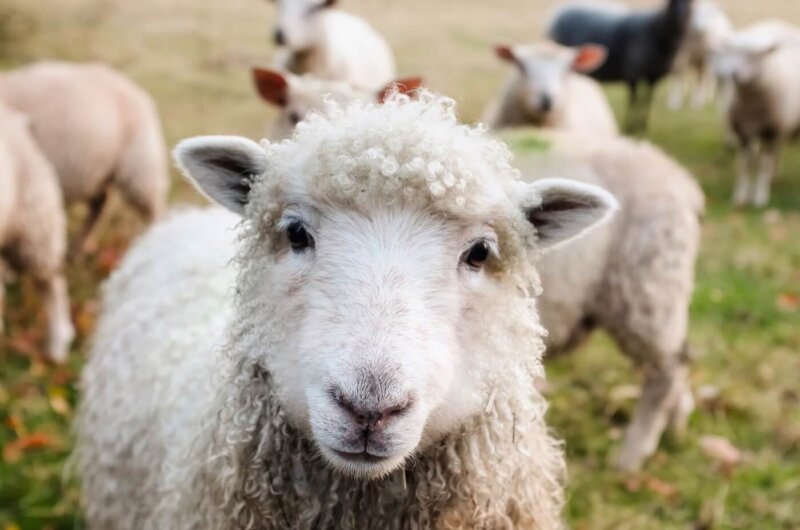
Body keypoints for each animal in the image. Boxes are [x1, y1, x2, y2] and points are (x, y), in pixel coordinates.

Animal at [0, 61, 169, 252]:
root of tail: (137, 91)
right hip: (99, 170)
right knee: (100, 203)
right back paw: (81, 246)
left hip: (140, 167)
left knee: (155, 208)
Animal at [509, 129, 704, 472]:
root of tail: (684, 182)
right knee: (678, 361)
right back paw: (677, 427)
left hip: (646, 288)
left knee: (666, 372)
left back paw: (631, 456)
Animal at [548, 0, 694, 132]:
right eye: (671, 2)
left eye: (691, 2)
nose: (680, 17)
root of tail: (560, 10)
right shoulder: (632, 74)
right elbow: (634, 100)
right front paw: (631, 126)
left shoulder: (653, 77)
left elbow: (647, 101)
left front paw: (642, 126)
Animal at [713, 21, 800, 207]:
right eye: (732, 53)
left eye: (755, 56)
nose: (734, 74)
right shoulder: (743, 132)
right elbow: (745, 165)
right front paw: (740, 196)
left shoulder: (771, 132)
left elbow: (762, 165)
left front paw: (760, 197)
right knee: (777, 151)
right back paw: (774, 175)